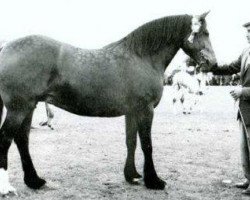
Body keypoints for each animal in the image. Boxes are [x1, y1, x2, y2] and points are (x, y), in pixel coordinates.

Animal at [0, 11, 216, 195]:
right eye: (204, 33)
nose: (212, 63)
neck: (142, 57)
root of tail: (6, 48)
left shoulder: (132, 112)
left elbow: (131, 142)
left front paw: (132, 176)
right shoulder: (145, 110)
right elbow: (147, 145)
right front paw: (154, 181)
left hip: (29, 107)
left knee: (22, 140)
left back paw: (34, 181)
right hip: (18, 108)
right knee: (5, 139)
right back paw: (6, 187)